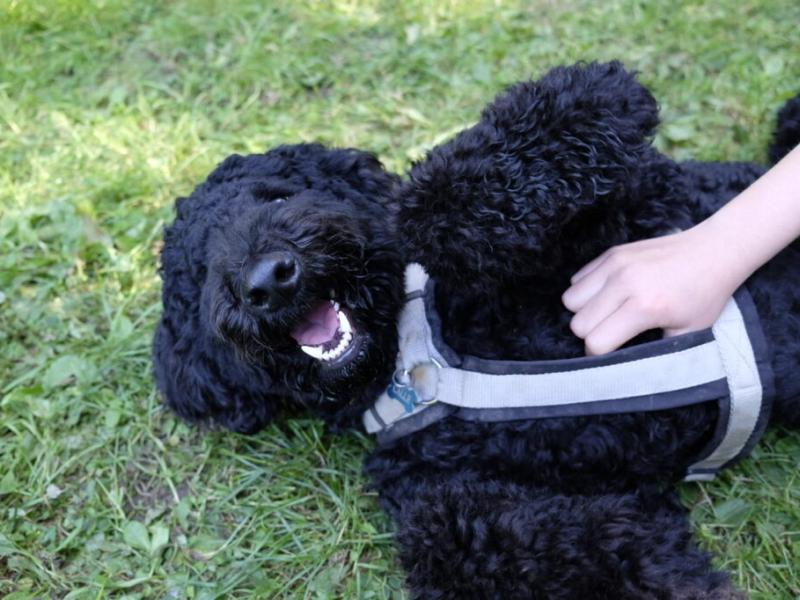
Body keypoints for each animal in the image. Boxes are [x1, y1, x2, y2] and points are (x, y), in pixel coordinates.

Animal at [155, 63, 800, 596]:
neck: (411, 358)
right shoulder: (460, 503)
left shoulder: (638, 206)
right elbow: (558, 549)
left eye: (278, 196)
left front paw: (595, 98)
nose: (269, 279)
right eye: (202, 268)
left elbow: (439, 197)